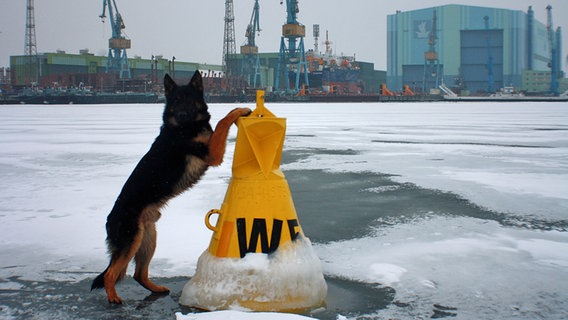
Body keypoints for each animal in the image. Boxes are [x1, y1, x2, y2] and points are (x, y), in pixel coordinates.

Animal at [91, 71, 251, 304]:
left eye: (189, 100)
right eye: (176, 101)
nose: (183, 114)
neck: (184, 126)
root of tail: (109, 219)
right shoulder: (212, 154)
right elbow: (223, 121)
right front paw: (238, 110)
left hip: (147, 239)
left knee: (138, 274)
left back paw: (156, 289)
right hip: (131, 241)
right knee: (110, 274)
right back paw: (113, 298)